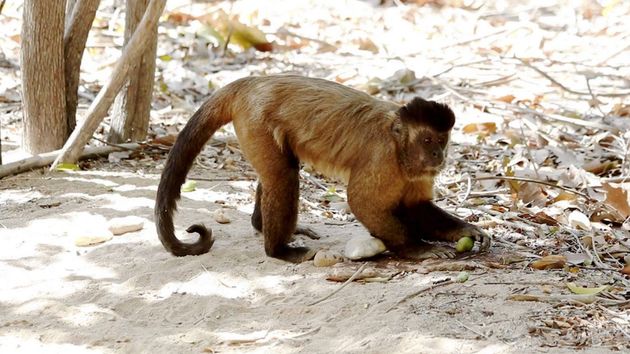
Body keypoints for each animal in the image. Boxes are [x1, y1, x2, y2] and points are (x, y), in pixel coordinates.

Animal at [154, 74, 494, 262]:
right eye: (426, 140)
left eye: (442, 140)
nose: (438, 154)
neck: (399, 146)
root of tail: (251, 82)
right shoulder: (382, 158)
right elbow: (362, 202)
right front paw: (416, 248)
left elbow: (415, 206)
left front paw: (467, 231)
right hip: (255, 119)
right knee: (282, 177)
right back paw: (278, 250)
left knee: (282, 169)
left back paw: (262, 226)